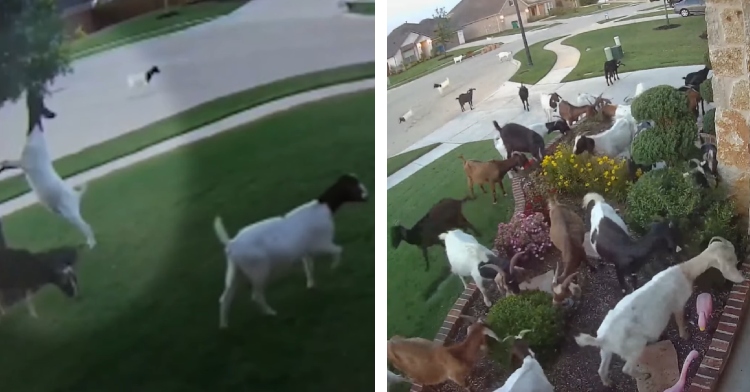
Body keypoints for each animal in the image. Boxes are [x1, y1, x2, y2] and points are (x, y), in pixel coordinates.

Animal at [0, 92, 97, 248]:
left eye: (37, 100)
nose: (53, 114)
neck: (35, 135)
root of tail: (76, 196)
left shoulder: (25, 163)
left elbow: (7, 162)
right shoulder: (24, 164)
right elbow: (6, 163)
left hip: (70, 212)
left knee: (86, 226)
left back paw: (92, 245)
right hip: (64, 213)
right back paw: (89, 243)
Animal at [213, 173, 368, 326]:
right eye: (355, 186)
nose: (367, 196)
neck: (323, 207)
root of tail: (231, 243)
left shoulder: (306, 251)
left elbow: (309, 267)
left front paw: (311, 285)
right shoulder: (322, 244)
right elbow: (339, 250)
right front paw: (334, 266)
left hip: (235, 272)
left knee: (225, 298)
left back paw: (224, 326)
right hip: (258, 270)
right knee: (256, 296)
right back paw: (270, 313)